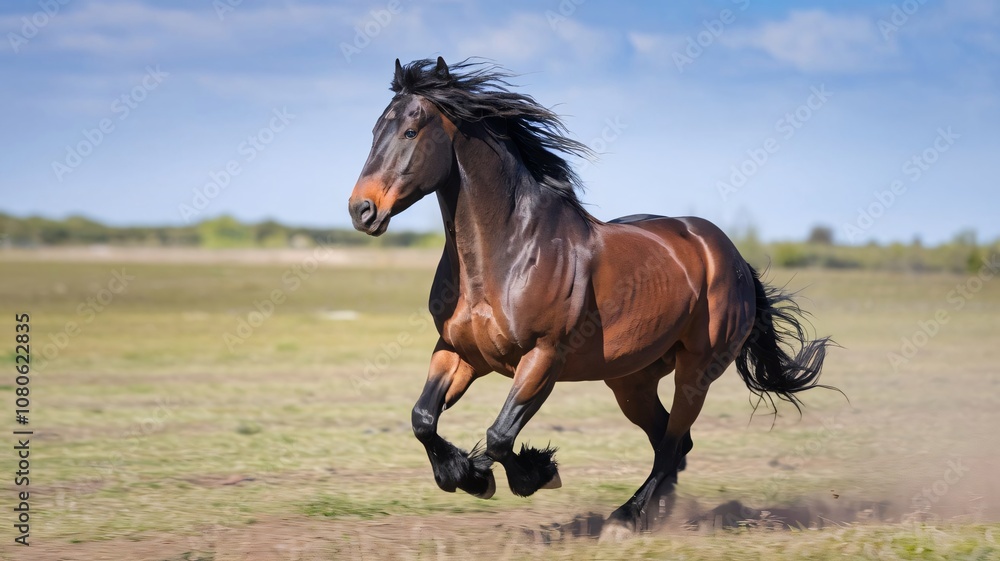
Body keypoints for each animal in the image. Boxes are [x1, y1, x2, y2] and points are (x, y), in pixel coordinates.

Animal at [347, 57, 832, 537]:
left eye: (411, 131)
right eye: (374, 131)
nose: (361, 210)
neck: (506, 253)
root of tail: (730, 256)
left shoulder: (543, 357)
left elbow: (500, 435)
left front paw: (532, 473)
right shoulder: (460, 352)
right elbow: (423, 419)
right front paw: (468, 474)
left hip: (696, 371)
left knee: (672, 445)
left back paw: (626, 518)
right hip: (631, 380)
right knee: (671, 443)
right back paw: (652, 515)